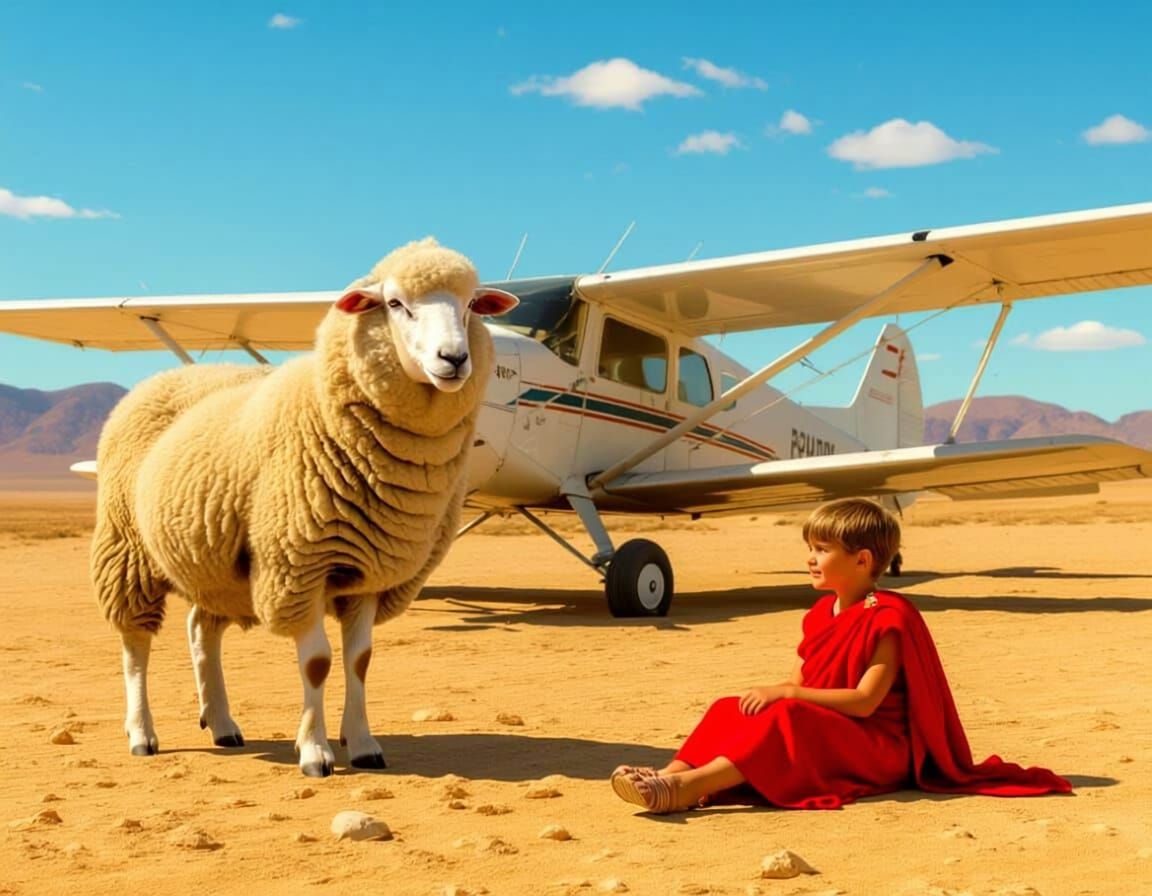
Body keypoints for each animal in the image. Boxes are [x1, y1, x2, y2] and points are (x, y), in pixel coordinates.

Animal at [90, 238, 518, 776]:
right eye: (396, 303)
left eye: (470, 306)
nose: (455, 359)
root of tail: (168, 375)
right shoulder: (300, 562)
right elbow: (317, 662)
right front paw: (315, 751)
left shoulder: (370, 568)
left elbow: (360, 661)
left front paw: (364, 744)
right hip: (127, 550)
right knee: (135, 647)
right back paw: (142, 733)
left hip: (213, 564)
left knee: (201, 632)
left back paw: (222, 722)